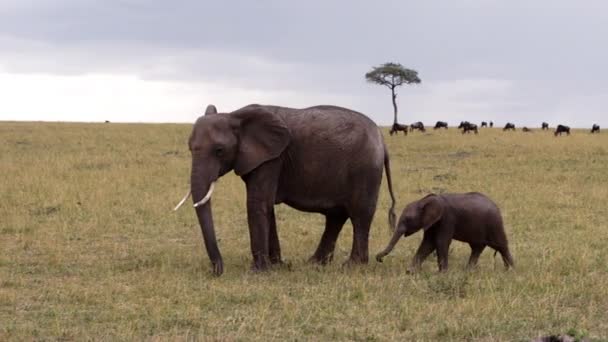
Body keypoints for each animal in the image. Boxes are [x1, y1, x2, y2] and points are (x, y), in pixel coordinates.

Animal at [173, 103, 396, 276]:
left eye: (219, 151)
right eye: (190, 148)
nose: (217, 271)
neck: (234, 115)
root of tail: (382, 140)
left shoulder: (272, 159)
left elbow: (257, 203)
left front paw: (258, 272)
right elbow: (267, 206)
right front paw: (278, 266)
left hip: (365, 169)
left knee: (359, 215)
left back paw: (352, 267)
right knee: (336, 217)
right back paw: (315, 264)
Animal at [376, 192, 512, 272]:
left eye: (408, 219)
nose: (379, 259)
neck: (423, 201)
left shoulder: (447, 219)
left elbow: (440, 242)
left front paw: (442, 274)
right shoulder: (432, 222)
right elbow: (428, 244)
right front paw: (411, 272)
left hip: (494, 223)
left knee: (502, 246)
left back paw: (511, 271)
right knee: (477, 248)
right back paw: (468, 272)